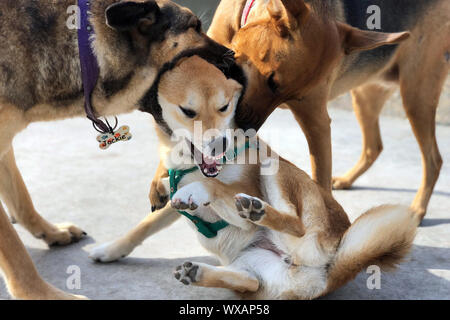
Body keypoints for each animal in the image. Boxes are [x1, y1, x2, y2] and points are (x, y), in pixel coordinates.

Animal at [0, 0, 237, 300]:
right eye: (194, 26)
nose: (235, 56)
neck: (85, 52)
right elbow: (15, 254)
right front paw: (40, 294)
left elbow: (22, 199)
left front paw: (49, 232)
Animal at [89, 55, 418, 300]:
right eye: (188, 111)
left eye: (224, 107)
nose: (219, 144)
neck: (189, 165)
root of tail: (330, 272)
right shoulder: (174, 196)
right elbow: (143, 227)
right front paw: (110, 251)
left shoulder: (235, 187)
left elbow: (214, 186)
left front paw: (201, 189)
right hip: (251, 266)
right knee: (250, 282)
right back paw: (198, 273)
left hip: (276, 170)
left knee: (293, 224)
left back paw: (255, 210)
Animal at [149, 0, 448, 220]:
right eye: (271, 80)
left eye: (294, 96)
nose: (245, 130)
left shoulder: (316, 120)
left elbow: (320, 178)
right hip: (366, 96)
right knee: (374, 146)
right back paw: (348, 180)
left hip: (416, 97)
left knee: (433, 159)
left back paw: (416, 210)